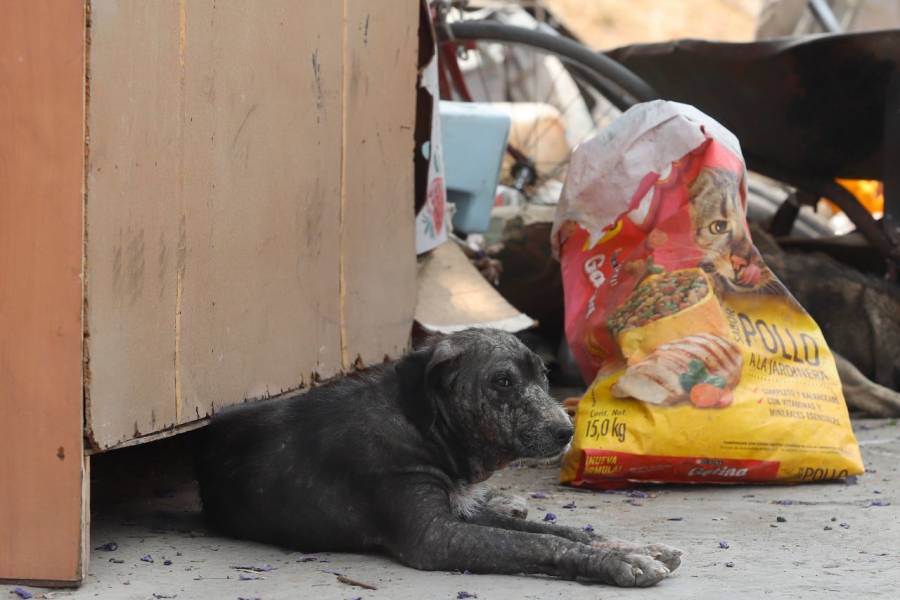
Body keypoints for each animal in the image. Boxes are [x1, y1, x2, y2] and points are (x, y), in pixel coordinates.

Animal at [193, 328, 680, 584]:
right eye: (503, 381)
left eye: (544, 376)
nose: (566, 431)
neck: (421, 425)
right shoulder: (436, 536)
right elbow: (540, 542)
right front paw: (621, 563)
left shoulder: (461, 515)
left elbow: (567, 530)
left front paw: (634, 548)